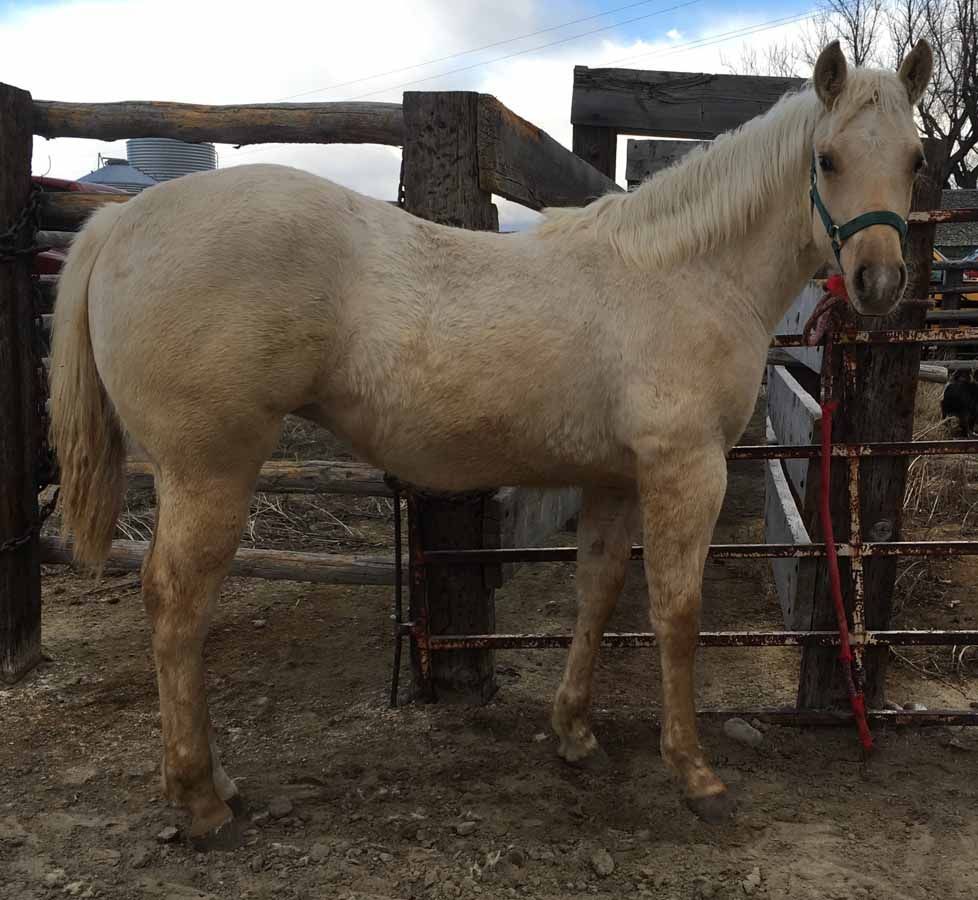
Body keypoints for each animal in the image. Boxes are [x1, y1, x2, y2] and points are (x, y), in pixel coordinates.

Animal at [49, 39, 933, 844]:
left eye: (917, 158)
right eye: (827, 158)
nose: (880, 283)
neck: (682, 274)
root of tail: (123, 220)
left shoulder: (616, 478)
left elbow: (599, 592)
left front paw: (574, 731)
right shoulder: (687, 471)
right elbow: (677, 613)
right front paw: (696, 775)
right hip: (209, 472)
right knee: (175, 605)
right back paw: (201, 798)